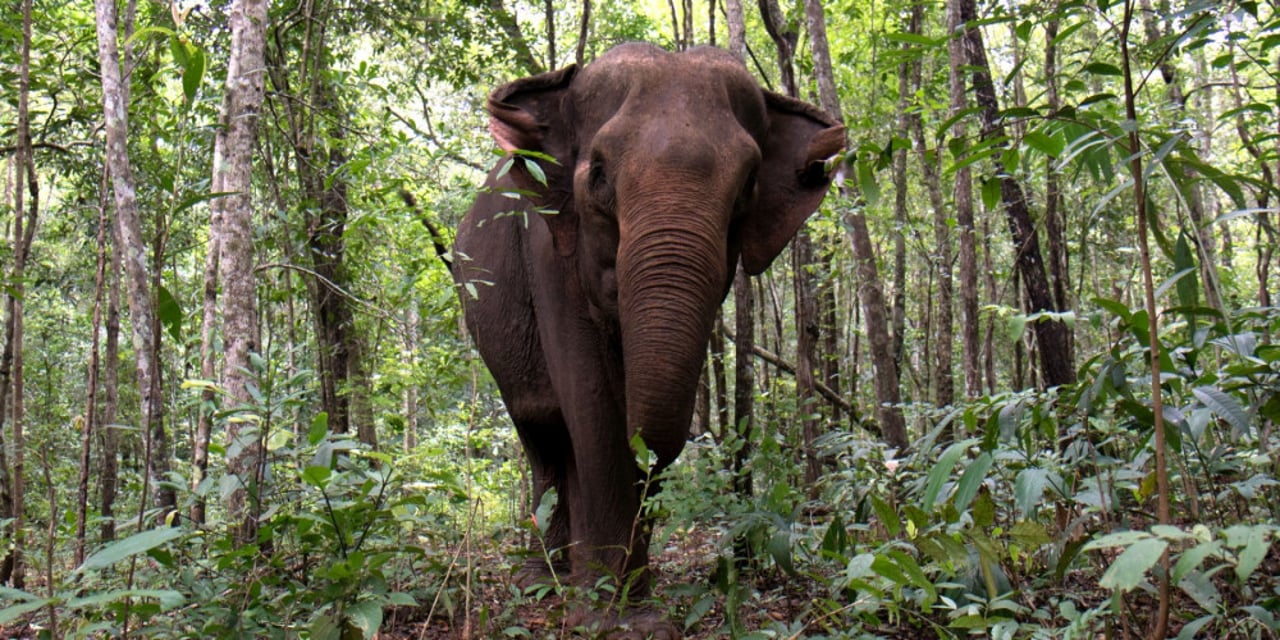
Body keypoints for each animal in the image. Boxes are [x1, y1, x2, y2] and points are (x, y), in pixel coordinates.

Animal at [455, 43, 844, 634]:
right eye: (597, 174)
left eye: (748, 186)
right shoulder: (549, 252)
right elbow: (592, 407)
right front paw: (602, 622)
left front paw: (634, 615)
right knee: (543, 433)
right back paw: (542, 581)